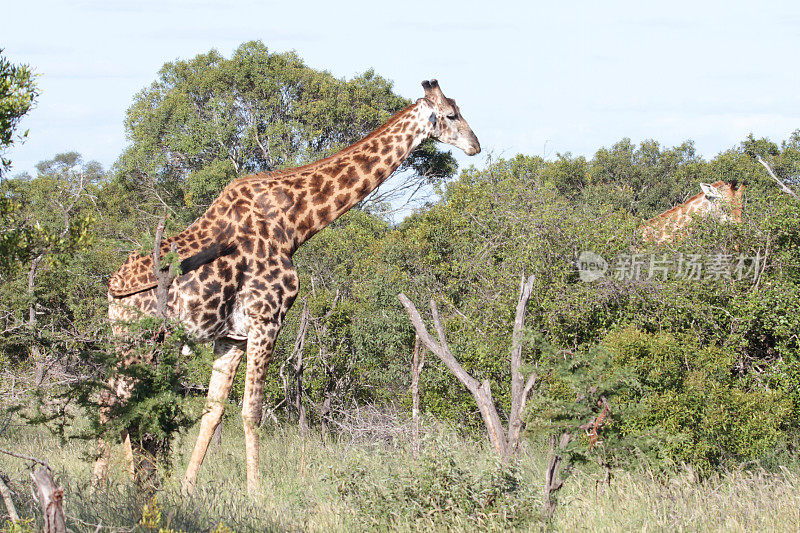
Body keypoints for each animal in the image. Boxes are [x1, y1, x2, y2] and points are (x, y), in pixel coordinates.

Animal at [94, 77, 482, 492]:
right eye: (451, 114)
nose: (476, 145)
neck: (296, 223)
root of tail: (113, 288)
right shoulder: (267, 321)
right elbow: (251, 412)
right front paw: (255, 494)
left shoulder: (231, 336)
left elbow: (213, 412)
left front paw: (187, 489)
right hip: (138, 339)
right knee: (113, 404)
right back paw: (103, 489)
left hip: (128, 339)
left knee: (112, 402)